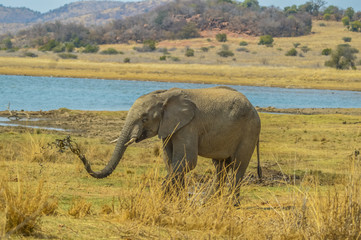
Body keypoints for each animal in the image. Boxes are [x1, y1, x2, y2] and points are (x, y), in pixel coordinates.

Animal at [77, 86, 260, 197]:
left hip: (249, 131)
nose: (82, 155)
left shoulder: (189, 125)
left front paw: (162, 194)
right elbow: (169, 160)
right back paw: (211, 201)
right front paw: (176, 198)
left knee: (238, 166)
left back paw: (230, 205)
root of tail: (254, 108)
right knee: (220, 166)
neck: (163, 96)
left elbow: (187, 161)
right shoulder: (169, 127)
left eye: (144, 119)